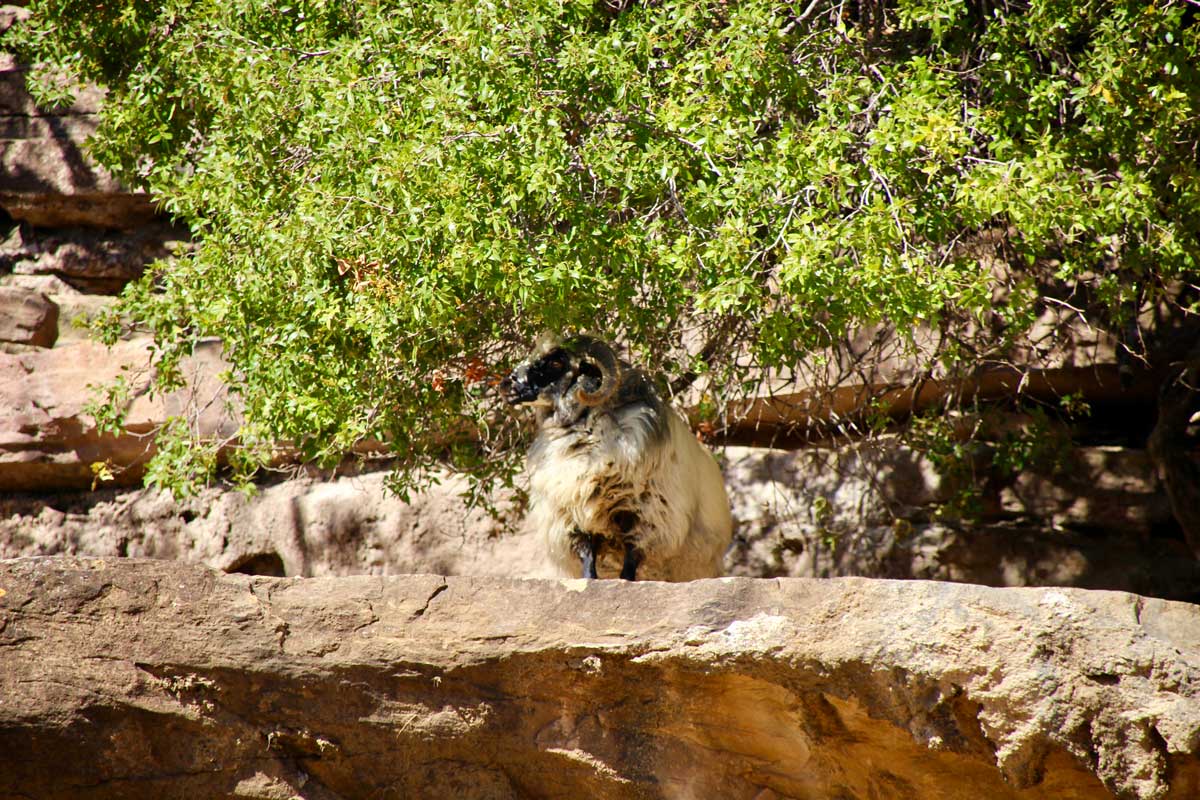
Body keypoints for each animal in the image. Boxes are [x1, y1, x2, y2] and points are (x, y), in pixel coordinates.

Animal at [499, 335, 729, 582]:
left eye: (556, 363)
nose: (506, 384)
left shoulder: (644, 516)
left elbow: (631, 559)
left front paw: (625, 582)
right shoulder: (575, 517)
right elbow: (588, 557)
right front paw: (589, 581)